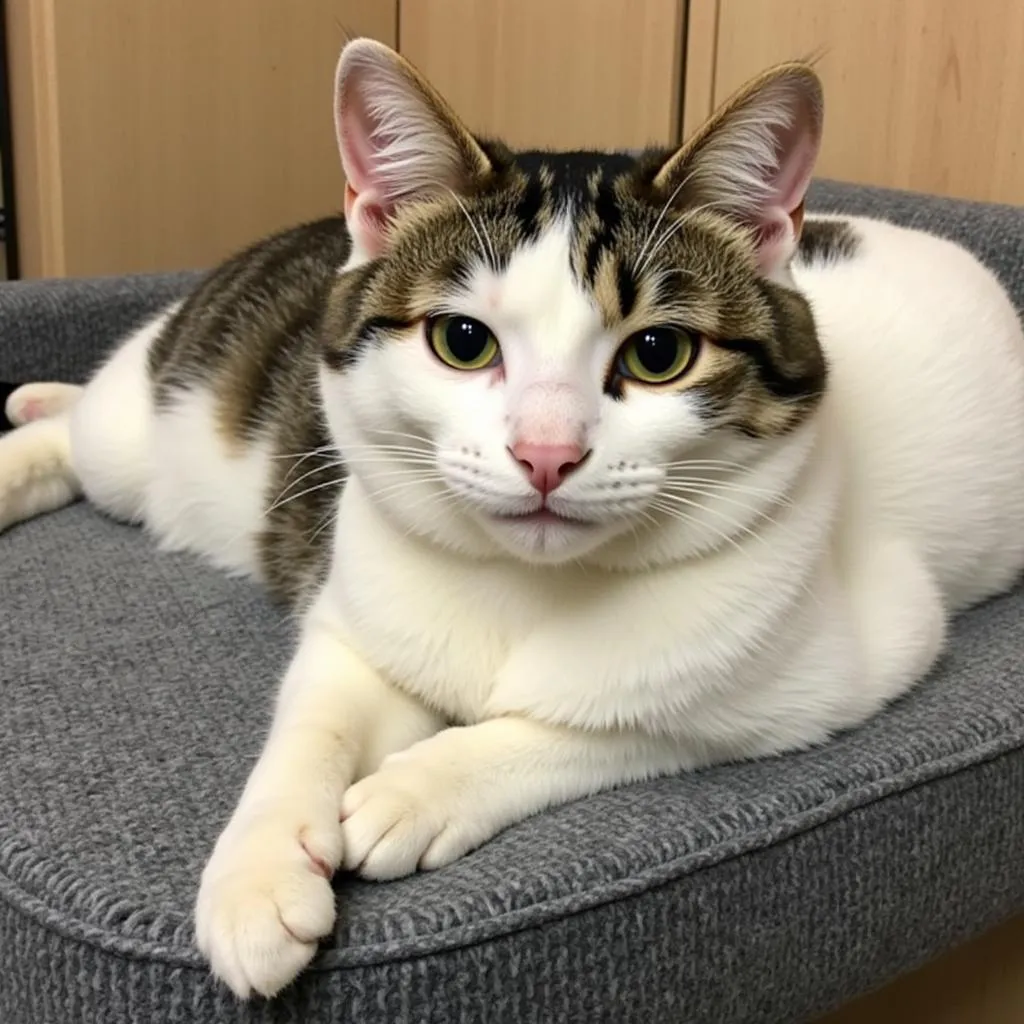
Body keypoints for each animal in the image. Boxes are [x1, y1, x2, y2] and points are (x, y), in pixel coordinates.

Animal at [2, 37, 1024, 999]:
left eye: (659, 353)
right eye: (463, 341)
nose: (545, 454)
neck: (523, 585)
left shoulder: (822, 678)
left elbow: (596, 728)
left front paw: (417, 787)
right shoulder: (353, 621)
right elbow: (311, 723)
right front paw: (257, 873)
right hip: (145, 434)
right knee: (86, 437)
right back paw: (36, 416)